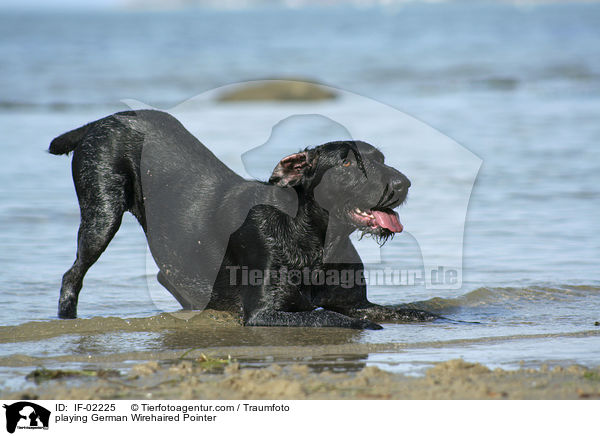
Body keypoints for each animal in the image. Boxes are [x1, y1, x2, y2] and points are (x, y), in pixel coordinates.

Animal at [50, 110, 436, 328]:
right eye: (346, 162)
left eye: (381, 158)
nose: (403, 184)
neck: (314, 238)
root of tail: (99, 122)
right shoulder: (264, 313)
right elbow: (337, 318)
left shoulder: (357, 303)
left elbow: (413, 313)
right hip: (102, 212)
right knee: (73, 275)